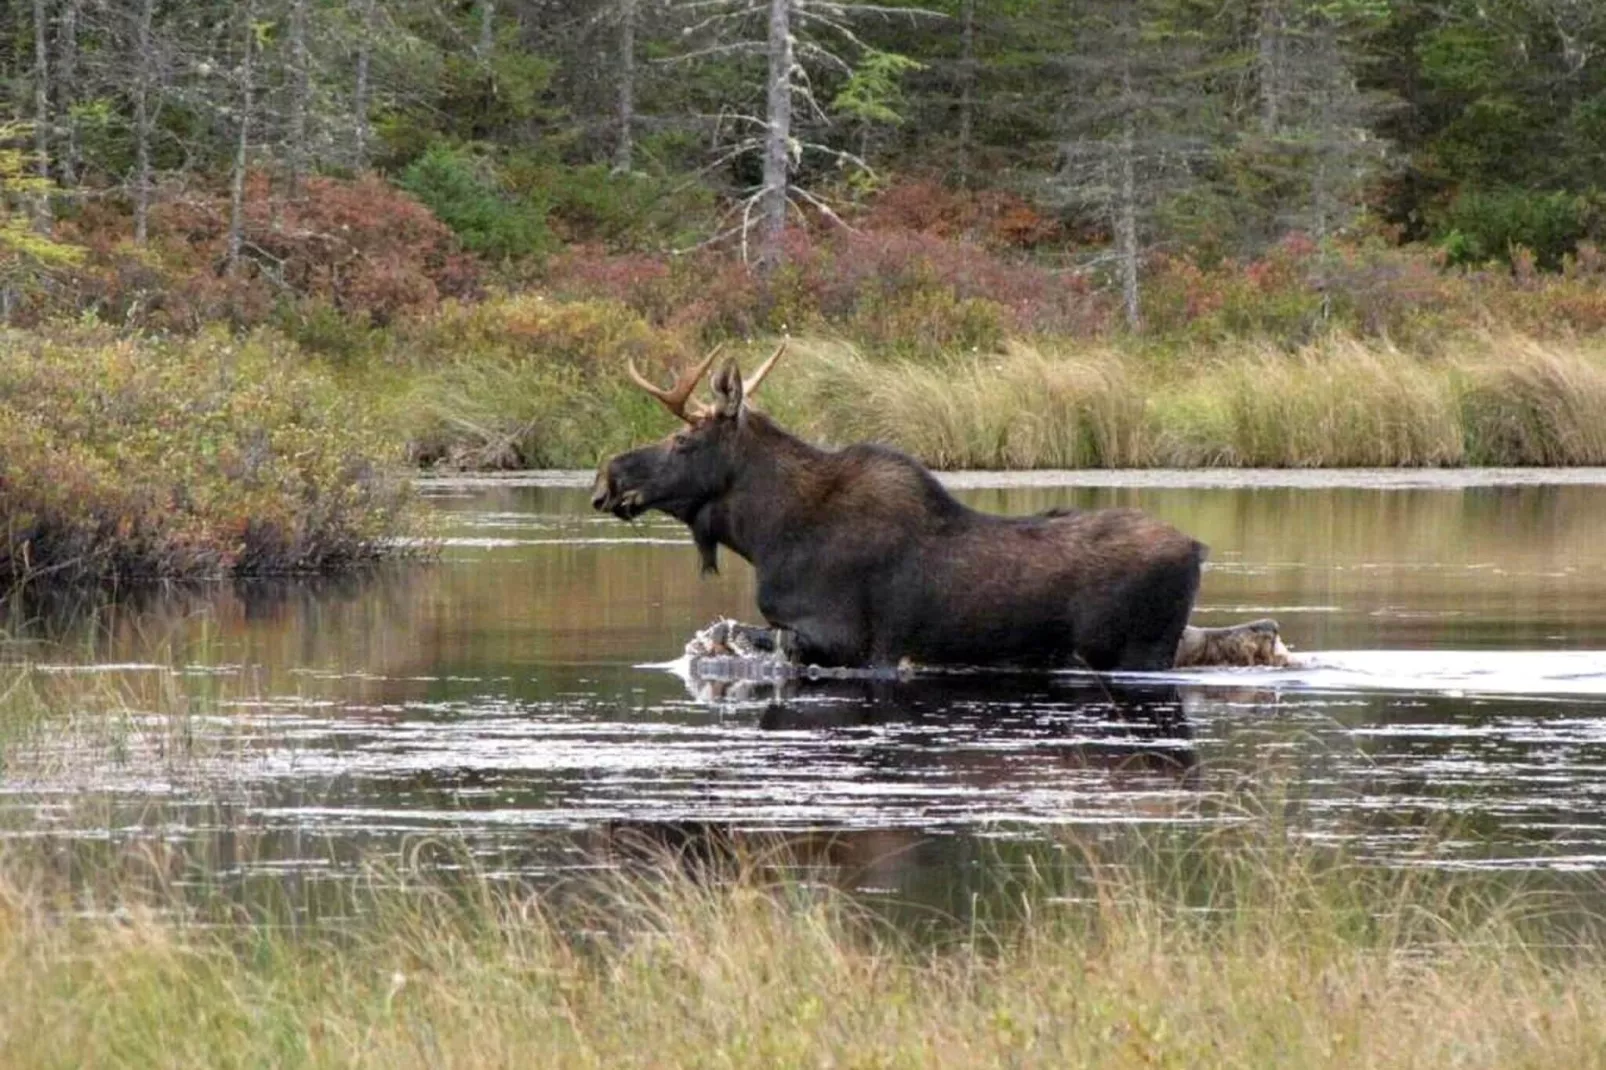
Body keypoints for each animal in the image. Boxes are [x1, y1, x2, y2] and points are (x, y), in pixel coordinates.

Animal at [591, 345, 1278, 671]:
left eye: (683, 439)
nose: (607, 477)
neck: (766, 535)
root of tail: (1199, 549)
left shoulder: (843, 641)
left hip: (1137, 649)